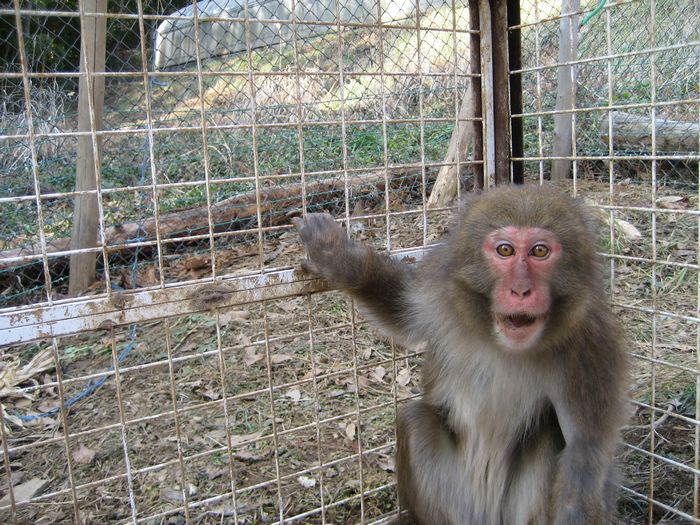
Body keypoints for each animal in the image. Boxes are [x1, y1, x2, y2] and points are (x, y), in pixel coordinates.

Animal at [290, 184, 628, 524]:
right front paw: (336, 256)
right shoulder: (440, 293)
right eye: (505, 251)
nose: (521, 290)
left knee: (551, 432)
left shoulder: (593, 347)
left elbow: (584, 450)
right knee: (416, 420)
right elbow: (401, 307)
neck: (502, 343)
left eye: (540, 252)